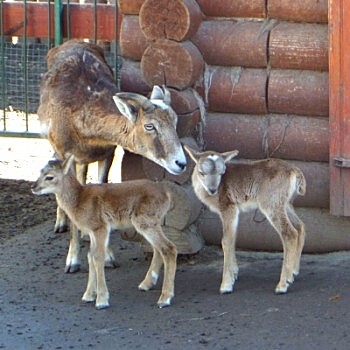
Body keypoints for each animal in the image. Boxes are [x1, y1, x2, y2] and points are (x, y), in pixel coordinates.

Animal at [185, 146, 304, 296]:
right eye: (201, 172)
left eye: (221, 172)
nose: (212, 190)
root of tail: (294, 171)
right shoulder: (235, 211)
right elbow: (233, 238)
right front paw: (235, 274)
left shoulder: (228, 208)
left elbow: (226, 241)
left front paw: (226, 285)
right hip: (286, 203)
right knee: (300, 226)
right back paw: (293, 273)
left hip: (271, 203)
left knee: (289, 233)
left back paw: (282, 285)